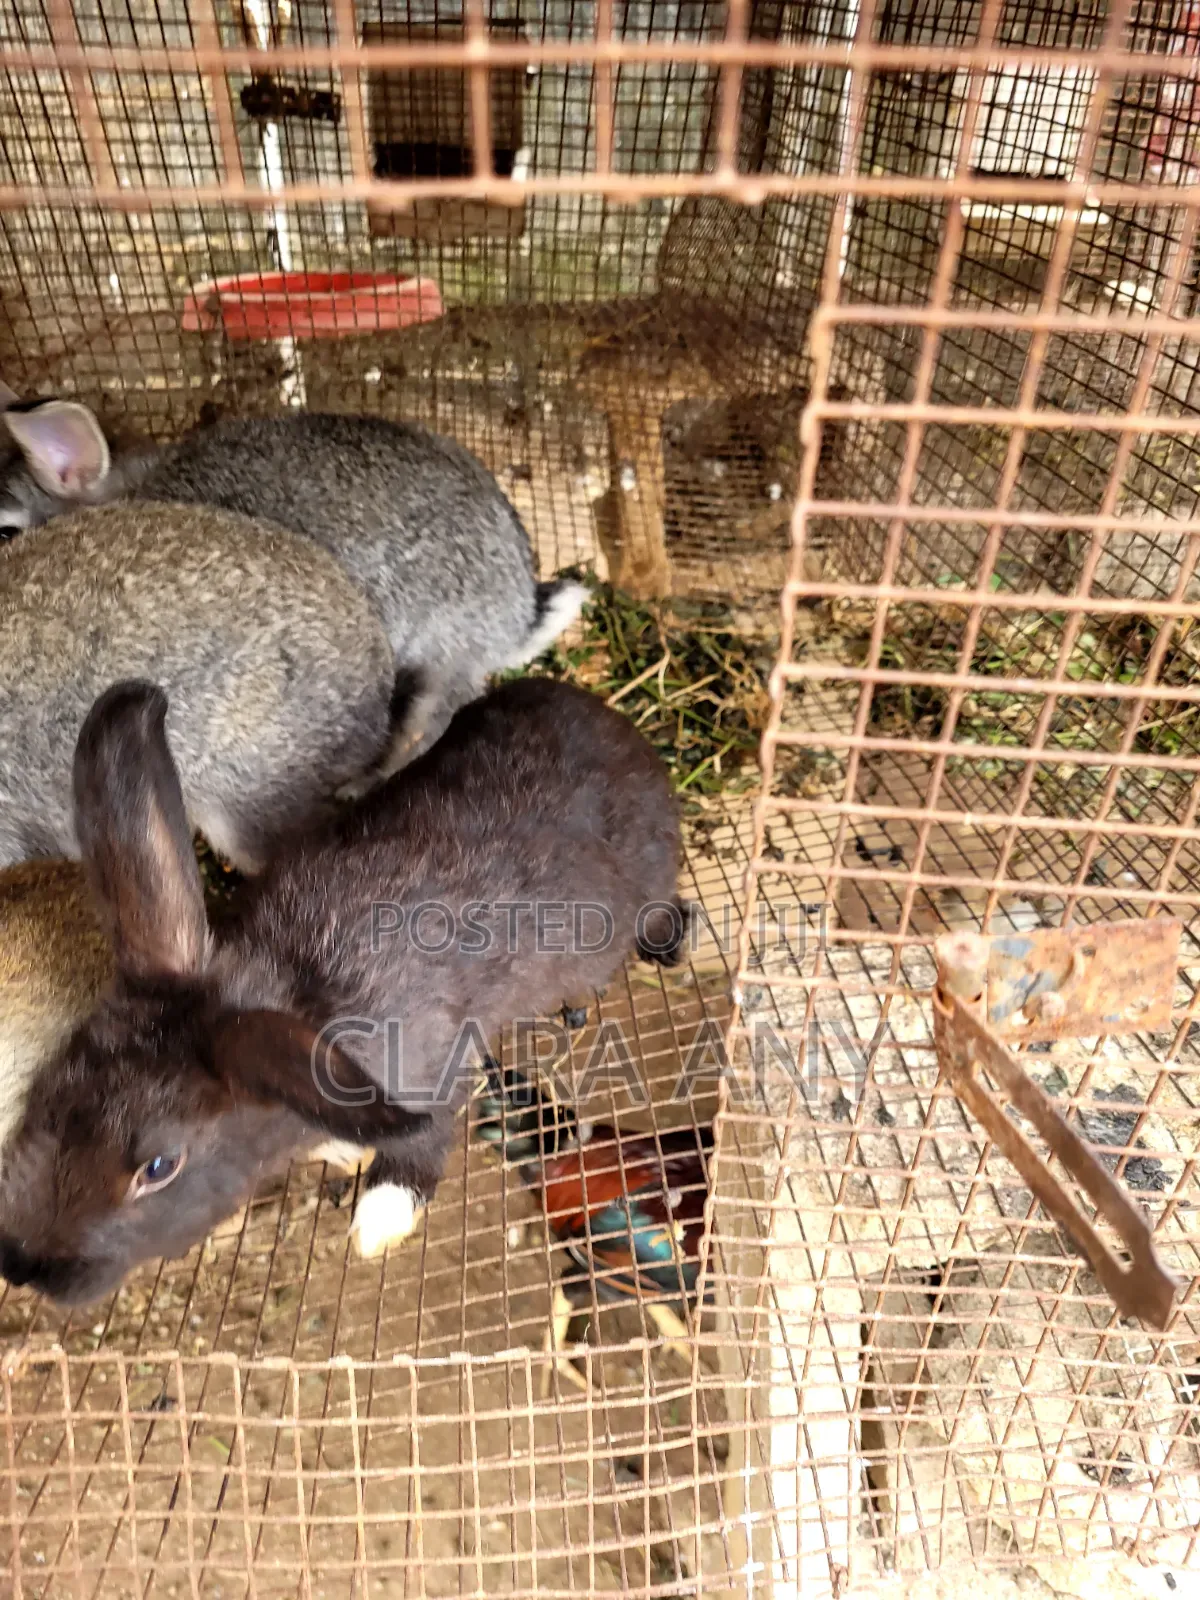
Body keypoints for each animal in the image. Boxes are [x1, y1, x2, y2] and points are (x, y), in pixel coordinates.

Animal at [0, 674, 687, 1306]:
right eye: (44, 1095)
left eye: (160, 1168)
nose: (26, 1270)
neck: (294, 995)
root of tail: (614, 726)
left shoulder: (429, 1068)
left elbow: (421, 1141)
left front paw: (379, 1222)